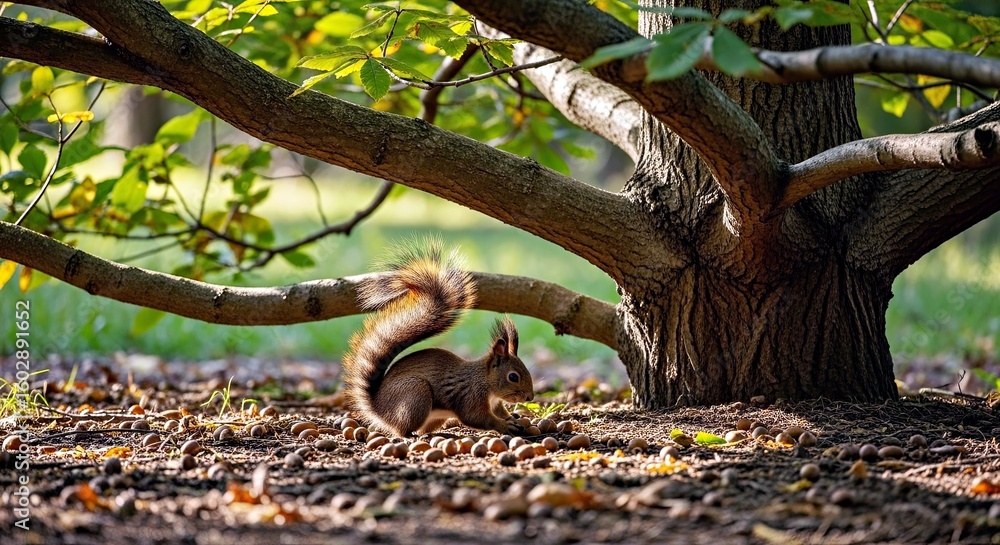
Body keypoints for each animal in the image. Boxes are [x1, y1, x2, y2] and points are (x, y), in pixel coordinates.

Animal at [342, 244, 534, 437]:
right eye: (513, 377)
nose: (530, 397)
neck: (485, 381)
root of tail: (378, 407)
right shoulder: (470, 396)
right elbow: (477, 418)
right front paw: (504, 425)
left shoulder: (495, 404)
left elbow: (500, 411)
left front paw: (512, 418)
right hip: (416, 394)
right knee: (403, 430)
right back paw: (412, 435)